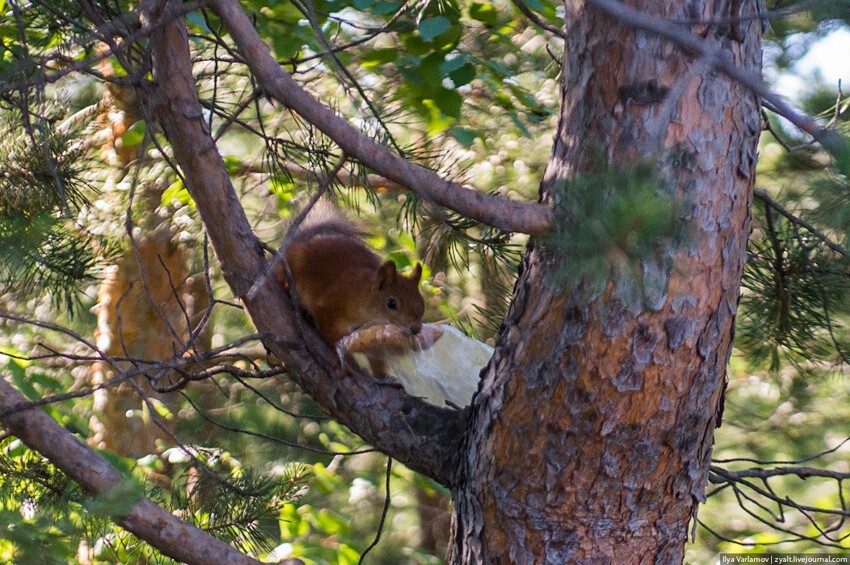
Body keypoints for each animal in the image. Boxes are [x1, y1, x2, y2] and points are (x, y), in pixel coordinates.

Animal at [274, 205, 424, 346]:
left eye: (422, 302)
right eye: (391, 303)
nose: (415, 329)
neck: (362, 295)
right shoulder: (328, 305)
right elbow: (331, 332)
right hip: (293, 263)